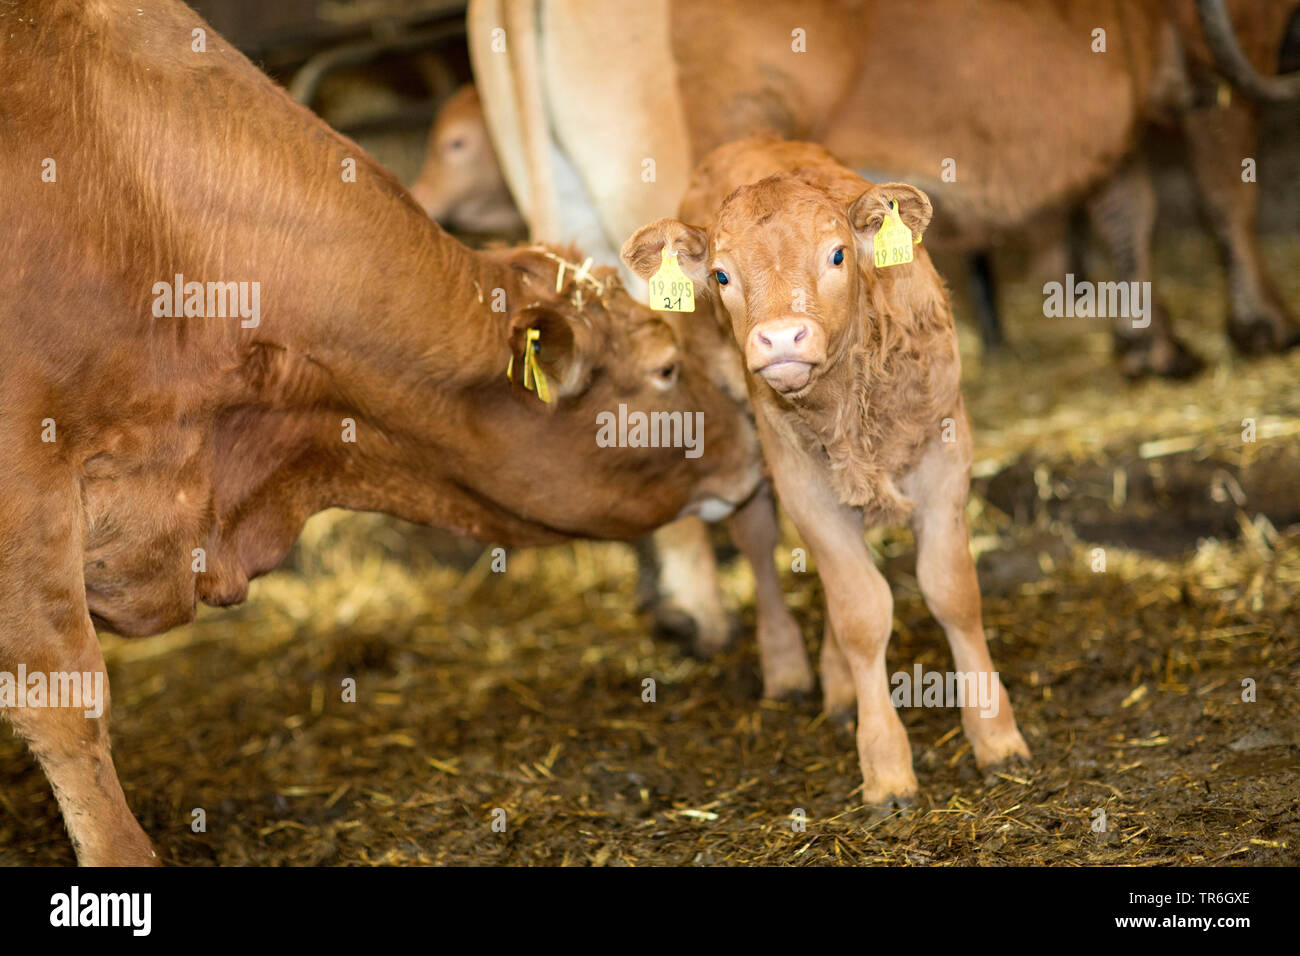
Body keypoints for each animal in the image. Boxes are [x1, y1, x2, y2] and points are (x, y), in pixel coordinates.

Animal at [624, 136, 1029, 806]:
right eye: (721, 275)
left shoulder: (946, 460)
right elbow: (861, 612)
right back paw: (791, 668)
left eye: (837, 253)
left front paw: (996, 738)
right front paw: (886, 766)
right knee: (763, 547)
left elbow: (952, 593)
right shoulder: (802, 482)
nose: (781, 338)